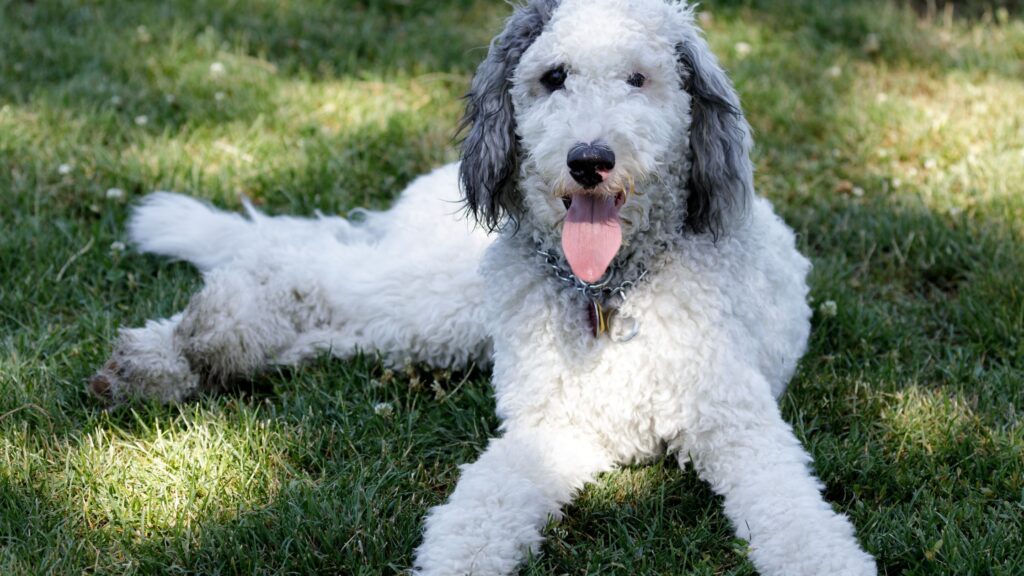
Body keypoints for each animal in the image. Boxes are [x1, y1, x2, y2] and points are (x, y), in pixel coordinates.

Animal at [88, 1, 876, 573]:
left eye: (639, 78)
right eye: (553, 77)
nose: (589, 159)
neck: (608, 293)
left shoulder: (733, 424)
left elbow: (796, 517)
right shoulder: (551, 426)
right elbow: (481, 511)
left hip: (431, 327)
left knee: (323, 313)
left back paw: (180, 358)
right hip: (443, 298)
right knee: (303, 267)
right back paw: (189, 341)